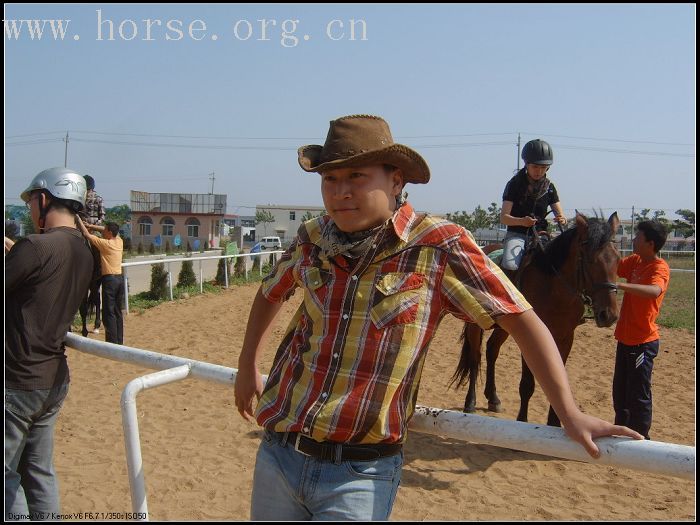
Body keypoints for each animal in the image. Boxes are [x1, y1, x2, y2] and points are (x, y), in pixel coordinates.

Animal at [452, 212, 620, 426]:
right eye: (590, 260)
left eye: (617, 259)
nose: (609, 315)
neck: (553, 286)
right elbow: (527, 384)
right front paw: (522, 420)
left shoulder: (566, 338)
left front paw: (554, 424)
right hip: (475, 325)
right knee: (475, 357)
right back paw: (470, 402)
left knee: (491, 350)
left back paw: (493, 398)